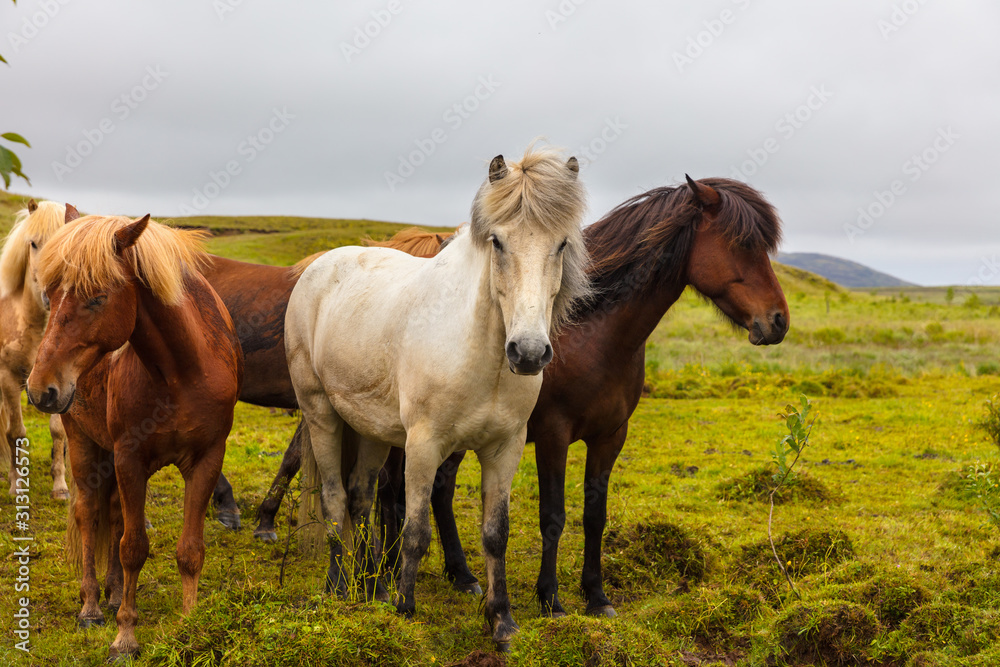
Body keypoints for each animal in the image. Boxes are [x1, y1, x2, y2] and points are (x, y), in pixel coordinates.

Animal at [26, 213, 242, 656]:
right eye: (50, 296)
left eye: (97, 298)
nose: (40, 390)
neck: (182, 372)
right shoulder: (130, 458)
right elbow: (133, 547)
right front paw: (125, 635)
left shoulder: (208, 459)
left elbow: (189, 550)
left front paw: (190, 624)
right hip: (83, 445)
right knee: (89, 514)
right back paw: (92, 606)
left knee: (111, 513)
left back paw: (111, 594)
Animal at [286, 146, 588, 648]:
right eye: (497, 243)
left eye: (561, 244)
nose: (527, 352)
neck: (480, 352)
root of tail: (321, 265)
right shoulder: (424, 445)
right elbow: (415, 531)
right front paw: (406, 612)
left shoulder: (504, 449)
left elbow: (495, 534)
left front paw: (502, 621)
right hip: (321, 413)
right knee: (332, 498)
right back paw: (339, 587)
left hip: (372, 430)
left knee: (359, 496)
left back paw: (372, 589)